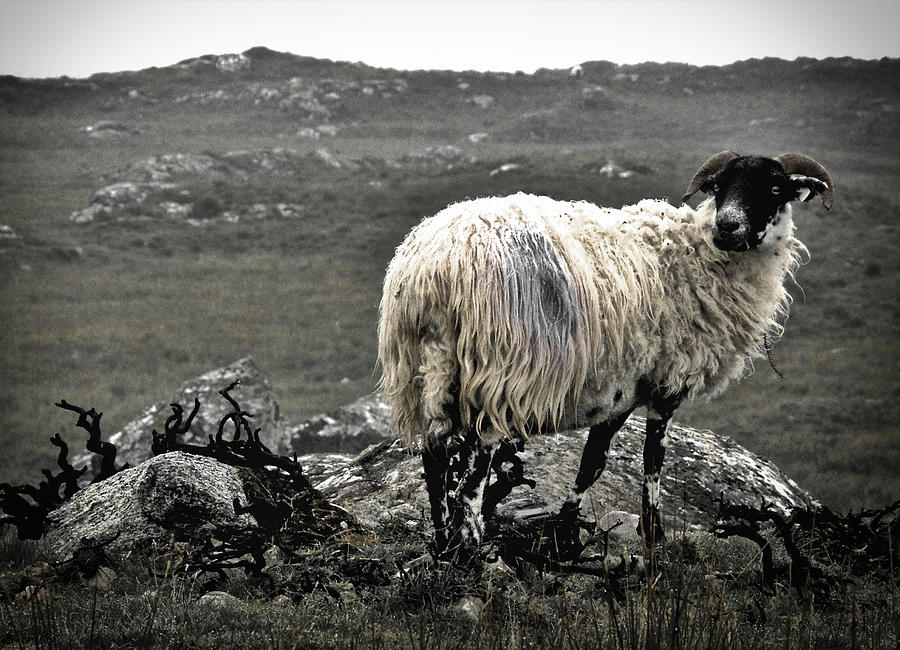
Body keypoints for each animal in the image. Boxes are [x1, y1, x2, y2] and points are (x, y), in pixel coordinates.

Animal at [376, 151, 832, 556]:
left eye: (775, 188)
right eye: (718, 187)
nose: (727, 226)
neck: (698, 254)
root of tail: (433, 266)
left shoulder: (619, 390)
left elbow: (591, 463)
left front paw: (564, 533)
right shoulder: (665, 384)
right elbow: (650, 463)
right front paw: (653, 536)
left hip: (427, 365)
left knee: (435, 457)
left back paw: (442, 541)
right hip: (495, 374)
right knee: (472, 473)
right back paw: (470, 547)